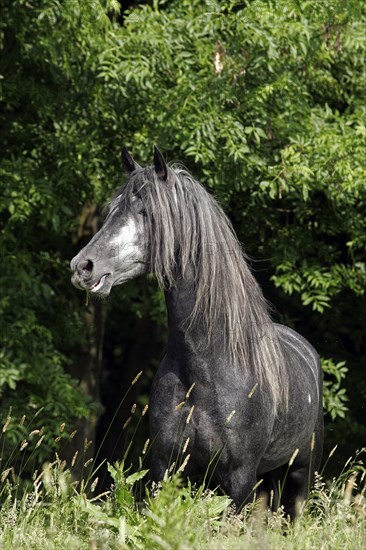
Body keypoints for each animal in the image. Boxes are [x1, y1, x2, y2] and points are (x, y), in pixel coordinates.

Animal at [70, 148, 322, 520]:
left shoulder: (238, 480)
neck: (204, 368)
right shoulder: (166, 469)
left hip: (299, 474)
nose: (82, 266)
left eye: (146, 211)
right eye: (113, 209)